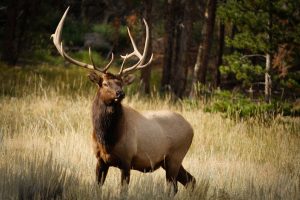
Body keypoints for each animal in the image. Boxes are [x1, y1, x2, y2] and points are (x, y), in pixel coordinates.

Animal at [51, 7, 196, 195]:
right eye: (105, 83)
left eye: (121, 83)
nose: (120, 93)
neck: (107, 139)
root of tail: (191, 127)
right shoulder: (100, 160)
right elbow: (97, 187)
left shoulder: (127, 160)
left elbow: (123, 191)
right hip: (169, 161)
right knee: (191, 180)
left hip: (175, 156)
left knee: (175, 187)